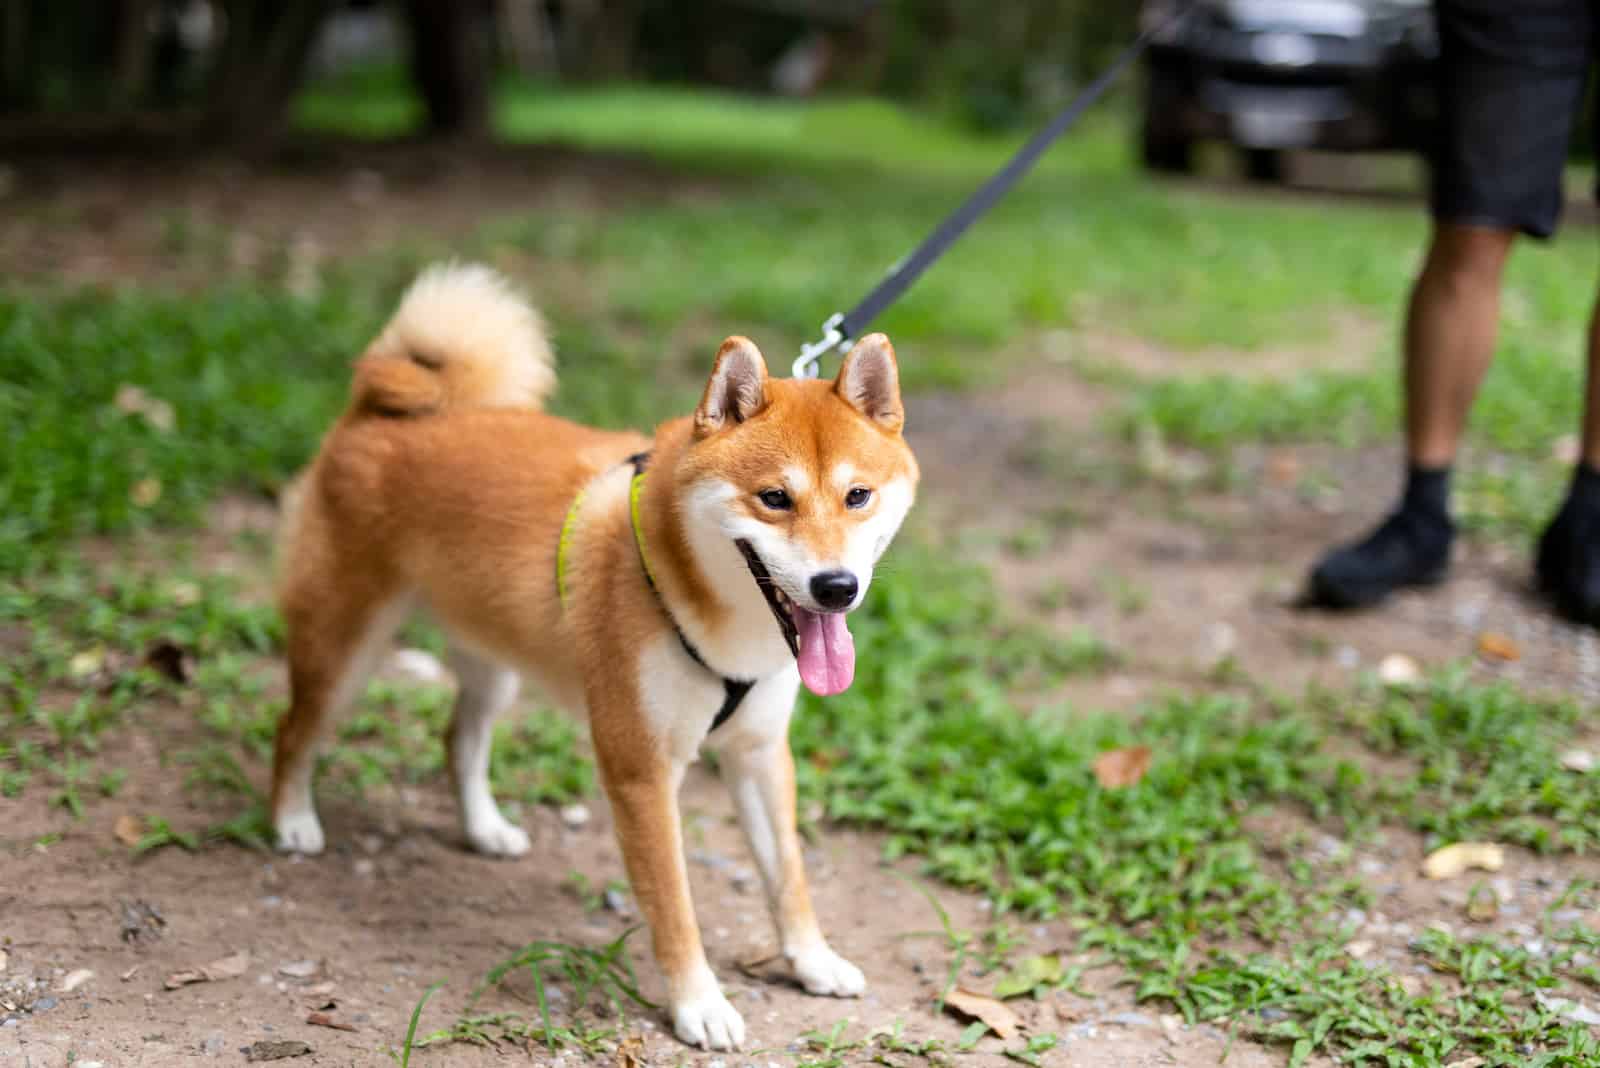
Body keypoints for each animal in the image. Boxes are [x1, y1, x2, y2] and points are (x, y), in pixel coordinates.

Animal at [268, 265, 921, 1048]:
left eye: (858, 496)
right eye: (774, 499)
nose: (836, 587)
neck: (711, 608)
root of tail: (379, 410)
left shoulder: (760, 751)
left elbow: (787, 876)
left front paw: (812, 961)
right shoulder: (640, 769)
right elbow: (674, 905)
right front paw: (699, 1004)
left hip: (493, 660)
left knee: (459, 739)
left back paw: (484, 829)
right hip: (344, 651)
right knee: (294, 731)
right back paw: (291, 823)